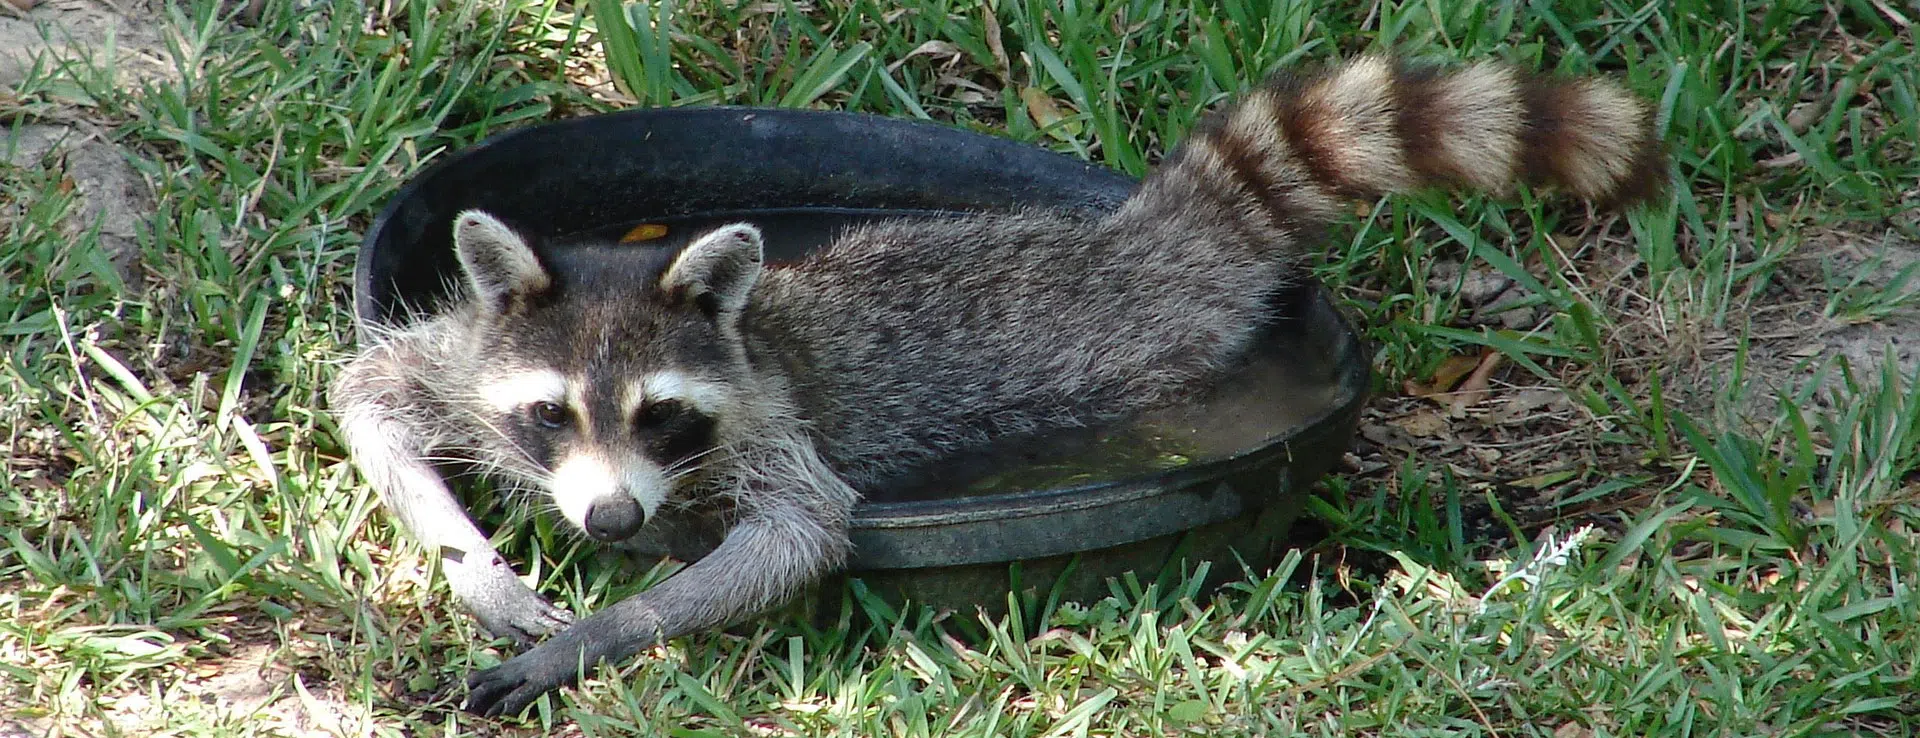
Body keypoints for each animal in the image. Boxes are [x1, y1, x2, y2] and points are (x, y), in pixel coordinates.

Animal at [330, 54, 1667, 716]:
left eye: (660, 414)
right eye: (551, 414)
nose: (610, 522)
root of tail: (1135, 244)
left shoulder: (769, 423)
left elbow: (804, 534)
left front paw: (602, 631)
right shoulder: (470, 358)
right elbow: (369, 393)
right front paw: (475, 563)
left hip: (1157, 347)